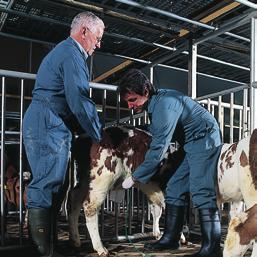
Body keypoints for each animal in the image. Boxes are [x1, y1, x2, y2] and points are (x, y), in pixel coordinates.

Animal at [67, 125, 256, 255]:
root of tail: (84, 137)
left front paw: (164, 235)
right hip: (102, 177)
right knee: (90, 206)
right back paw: (100, 248)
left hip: (84, 178)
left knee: (73, 199)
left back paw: (75, 240)